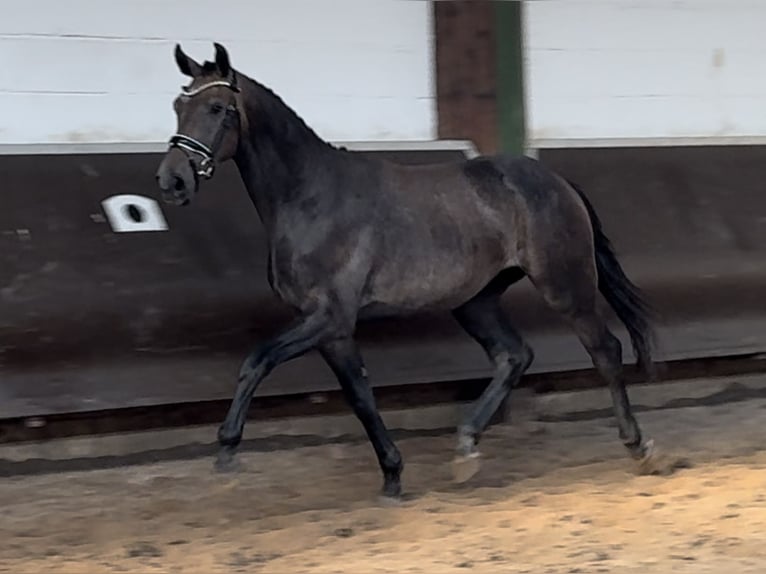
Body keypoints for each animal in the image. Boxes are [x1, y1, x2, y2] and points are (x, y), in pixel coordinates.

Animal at [158, 42, 664, 500]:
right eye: (179, 105)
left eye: (218, 107)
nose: (172, 180)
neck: (311, 197)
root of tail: (558, 183)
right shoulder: (332, 330)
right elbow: (361, 396)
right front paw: (392, 475)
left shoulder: (328, 317)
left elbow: (256, 361)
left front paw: (227, 451)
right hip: (475, 301)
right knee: (514, 355)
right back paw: (465, 449)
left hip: (565, 285)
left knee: (605, 350)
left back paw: (639, 448)